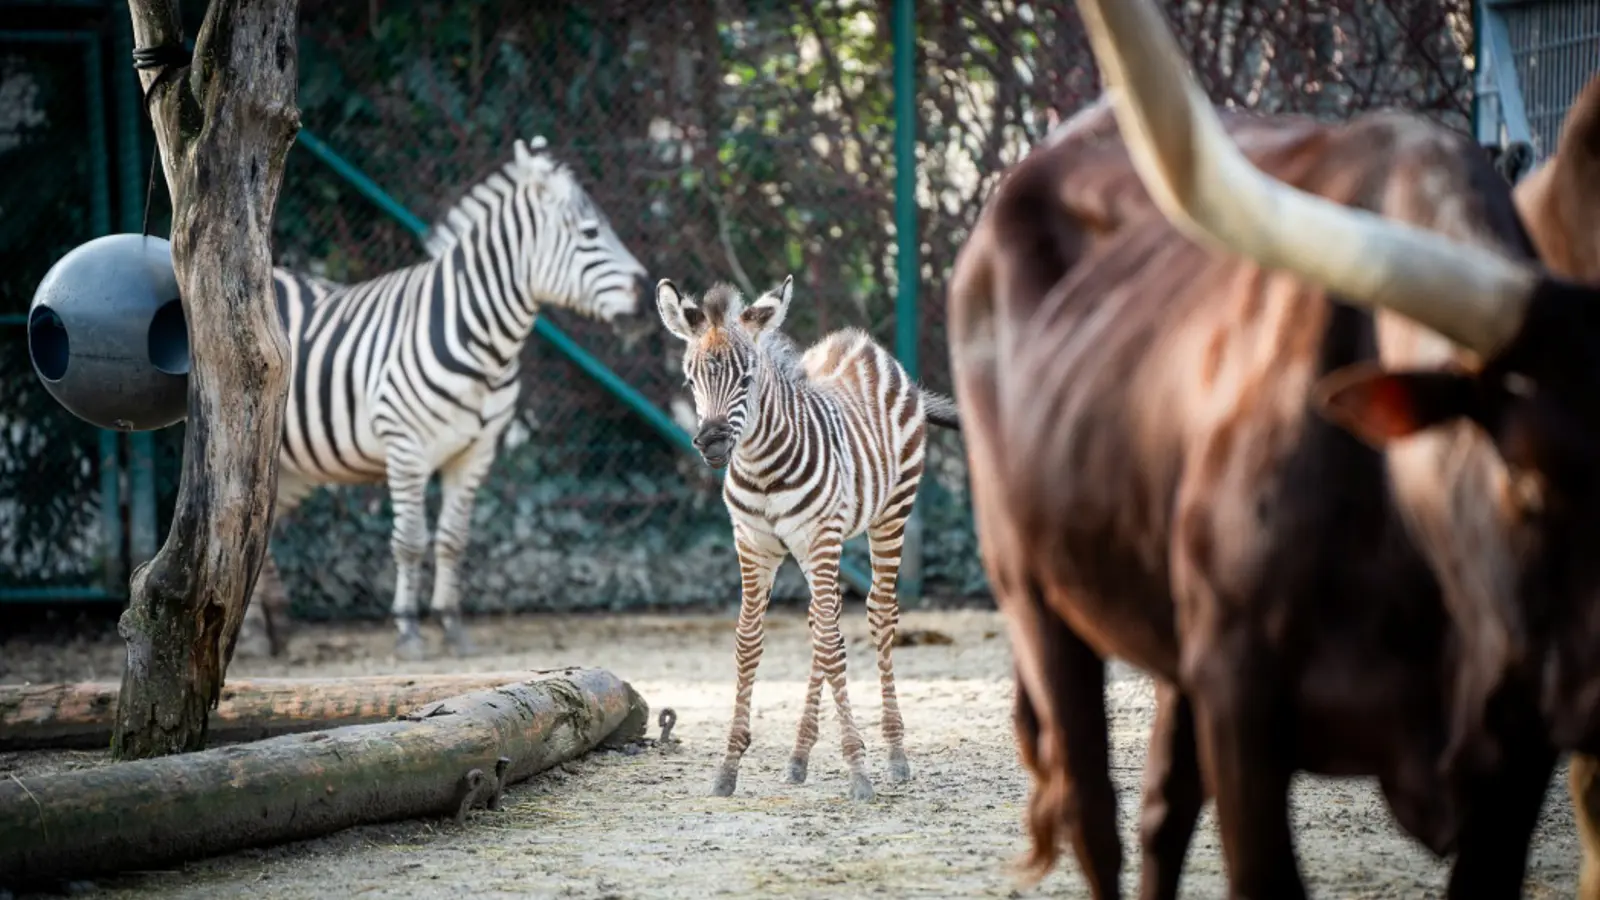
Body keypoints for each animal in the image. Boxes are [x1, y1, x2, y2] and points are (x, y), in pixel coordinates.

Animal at [237, 136, 651, 661]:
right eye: (591, 232)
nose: (647, 297)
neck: (486, 343)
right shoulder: (406, 446)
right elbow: (410, 540)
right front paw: (408, 630)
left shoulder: (476, 452)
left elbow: (453, 540)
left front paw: (453, 627)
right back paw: (252, 634)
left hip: (291, 466)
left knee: (258, 531)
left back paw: (277, 628)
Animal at [654, 274, 961, 802]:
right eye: (690, 380)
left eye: (746, 379)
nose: (711, 443)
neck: (761, 468)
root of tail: (861, 343)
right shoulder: (752, 544)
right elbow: (750, 642)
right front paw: (729, 765)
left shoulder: (820, 538)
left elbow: (835, 647)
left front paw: (859, 769)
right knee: (823, 621)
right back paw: (799, 756)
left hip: (888, 516)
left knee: (879, 615)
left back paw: (895, 754)